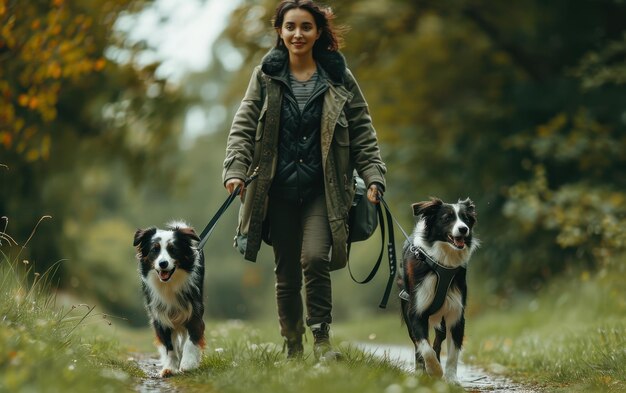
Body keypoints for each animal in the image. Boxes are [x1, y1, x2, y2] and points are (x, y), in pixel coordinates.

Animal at [133, 220, 204, 376]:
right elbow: (169, 345)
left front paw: (188, 363)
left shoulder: (194, 310)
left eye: (173, 249)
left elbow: (192, 339)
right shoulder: (159, 315)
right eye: (155, 250)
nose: (163, 263)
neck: (169, 284)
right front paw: (170, 367)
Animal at [394, 198, 478, 382]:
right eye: (447, 218)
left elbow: (453, 353)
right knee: (418, 344)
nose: (464, 229)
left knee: (438, 341)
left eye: (466, 218)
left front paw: (451, 379)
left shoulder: (456, 313)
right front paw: (434, 370)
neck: (443, 261)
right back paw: (421, 370)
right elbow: (425, 348)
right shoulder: (416, 311)